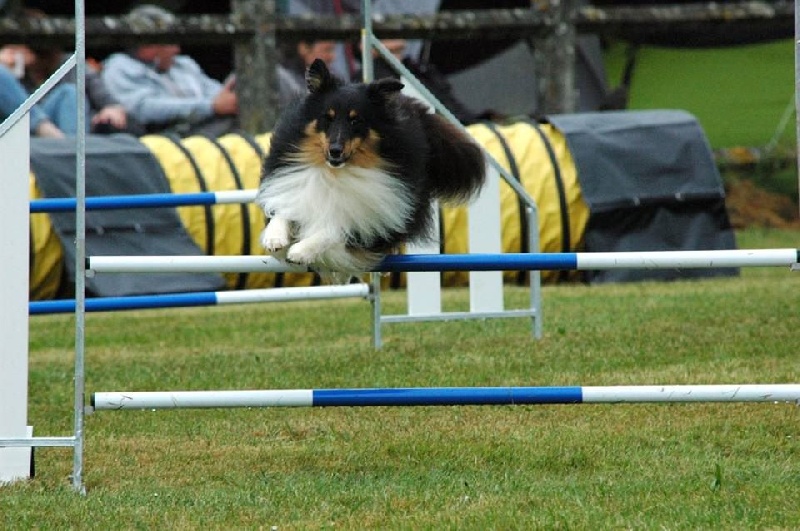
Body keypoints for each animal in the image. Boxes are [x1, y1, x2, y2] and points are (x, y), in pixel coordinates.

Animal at [256, 58, 484, 280]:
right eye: (327, 117)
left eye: (355, 120)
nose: (335, 151)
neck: (334, 173)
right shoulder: (298, 188)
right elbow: (284, 211)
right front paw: (274, 239)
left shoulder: (369, 218)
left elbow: (335, 230)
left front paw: (300, 251)